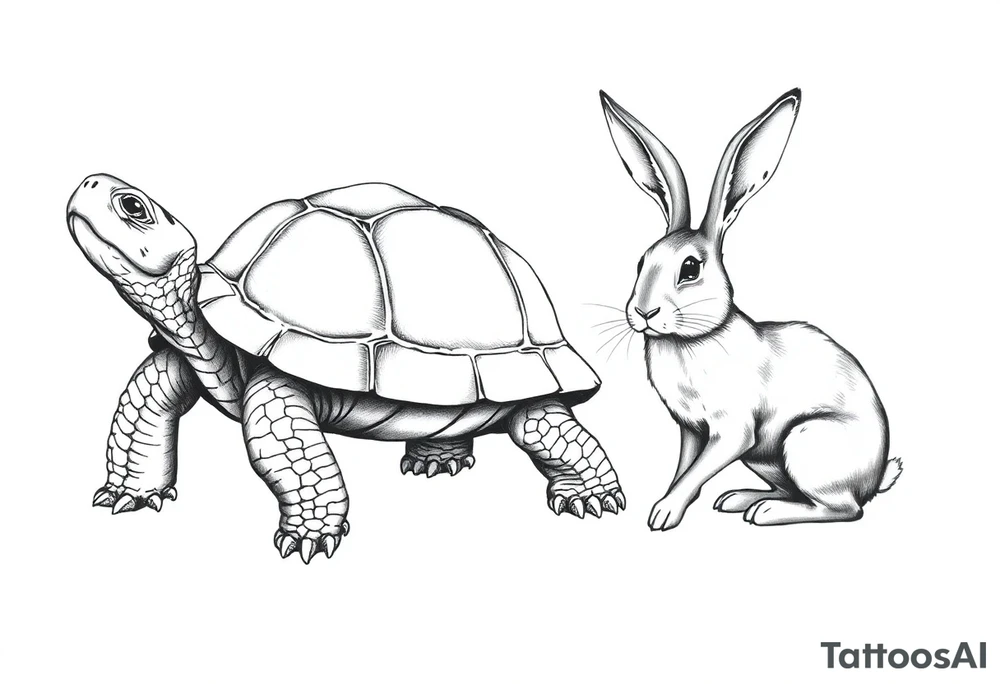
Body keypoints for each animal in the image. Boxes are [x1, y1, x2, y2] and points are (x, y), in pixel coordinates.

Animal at [599, 88, 901, 530]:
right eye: (641, 262)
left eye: (690, 269)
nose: (643, 312)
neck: (695, 338)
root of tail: (875, 478)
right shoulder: (691, 429)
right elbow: (685, 468)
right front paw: (666, 506)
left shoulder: (732, 431)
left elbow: (696, 470)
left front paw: (664, 513)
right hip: (767, 460)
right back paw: (740, 499)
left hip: (806, 442)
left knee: (844, 509)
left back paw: (765, 512)